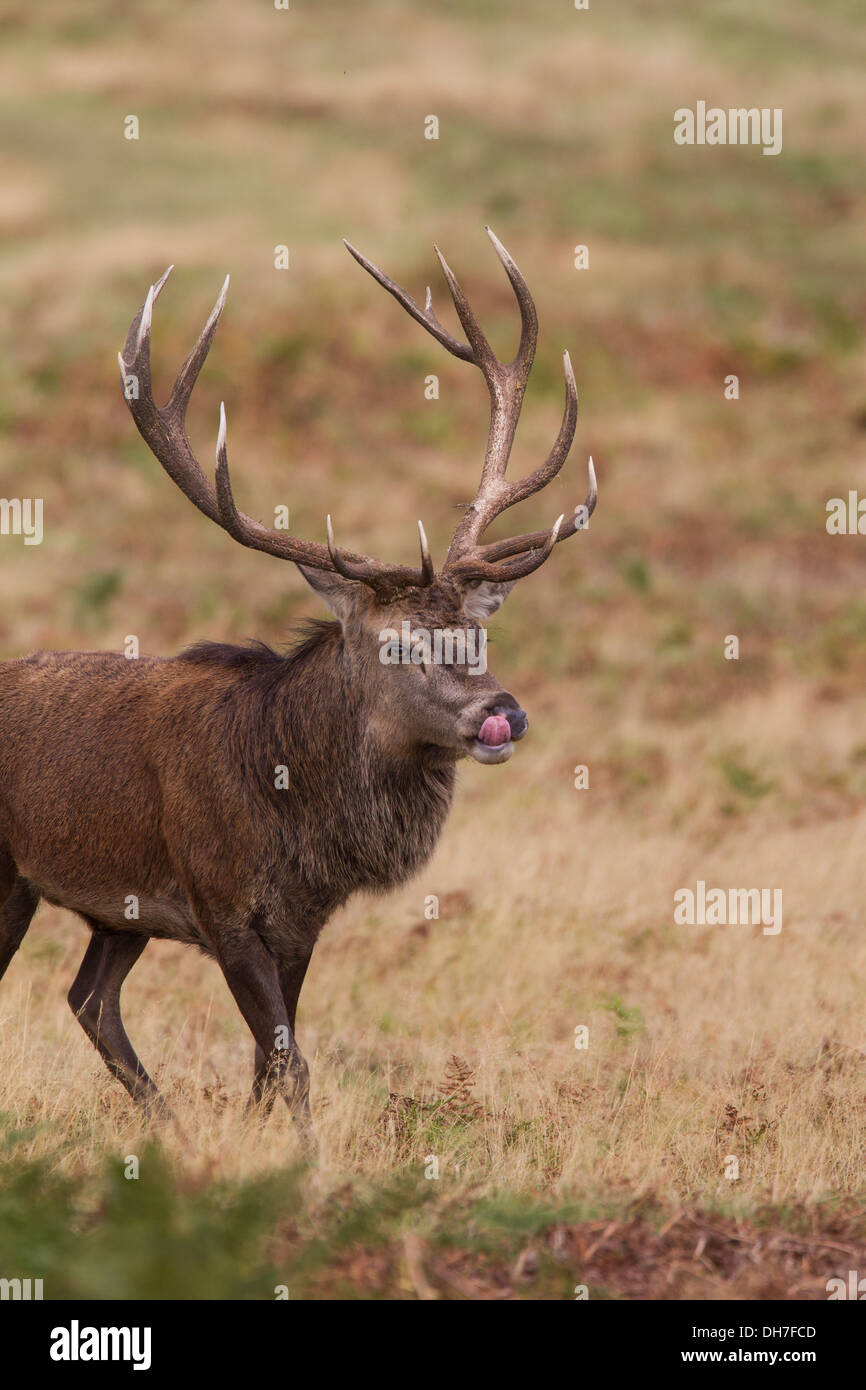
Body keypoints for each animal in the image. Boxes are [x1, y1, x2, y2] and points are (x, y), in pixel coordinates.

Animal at [0, 229, 596, 1135]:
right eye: (400, 646)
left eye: (478, 631)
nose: (504, 712)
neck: (294, 811)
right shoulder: (220, 901)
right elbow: (292, 1060)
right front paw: (303, 1155)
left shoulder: (299, 924)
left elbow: (268, 1063)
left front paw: (259, 1142)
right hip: (12, 876)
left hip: (118, 910)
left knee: (90, 1000)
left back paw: (169, 1126)